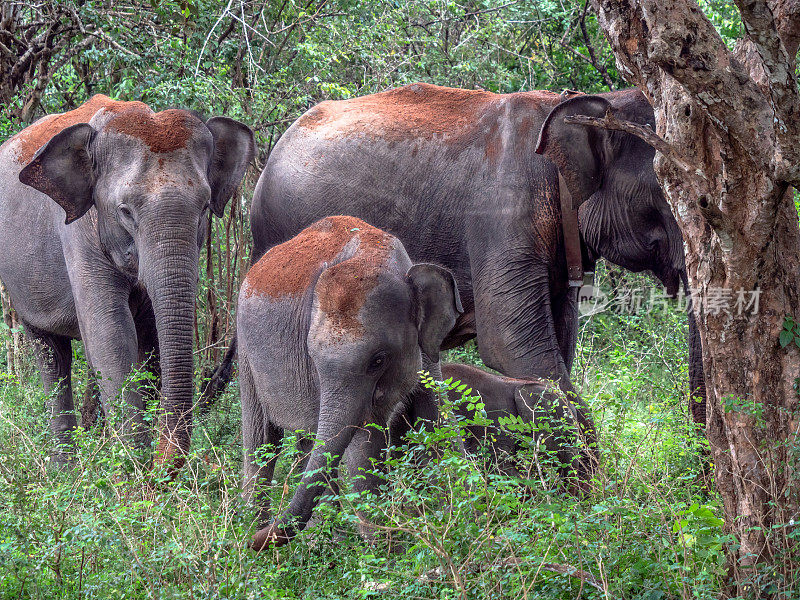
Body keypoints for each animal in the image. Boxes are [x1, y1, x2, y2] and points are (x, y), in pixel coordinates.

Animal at [0, 95, 253, 468]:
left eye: (205, 207)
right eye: (126, 212)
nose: (163, 463)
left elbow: (150, 342)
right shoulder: (79, 233)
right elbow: (112, 335)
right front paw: (134, 471)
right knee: (51, 356)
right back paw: (67, 471)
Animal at [239, 216, 462, 548]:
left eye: (378, 361)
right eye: (313, 359)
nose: (253, 541)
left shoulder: (426, 349)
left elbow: (438, 419)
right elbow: (364, 446)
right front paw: (386, 550)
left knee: (308, 442)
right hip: (245, 355)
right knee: (262, 440)